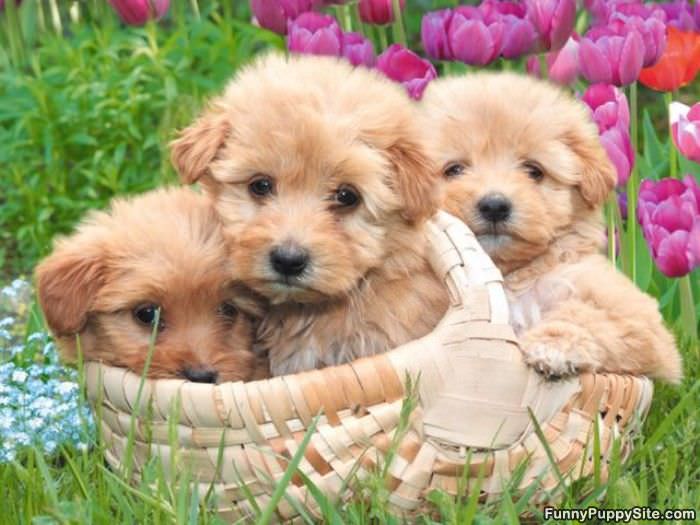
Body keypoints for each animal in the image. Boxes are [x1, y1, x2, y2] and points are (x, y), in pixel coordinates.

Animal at [422, 72, 684, 380]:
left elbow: (588, 316)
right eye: (454, 170)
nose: (495, 206)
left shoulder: (643, 323)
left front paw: (552, 346)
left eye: (534, 171)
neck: (510, 276)